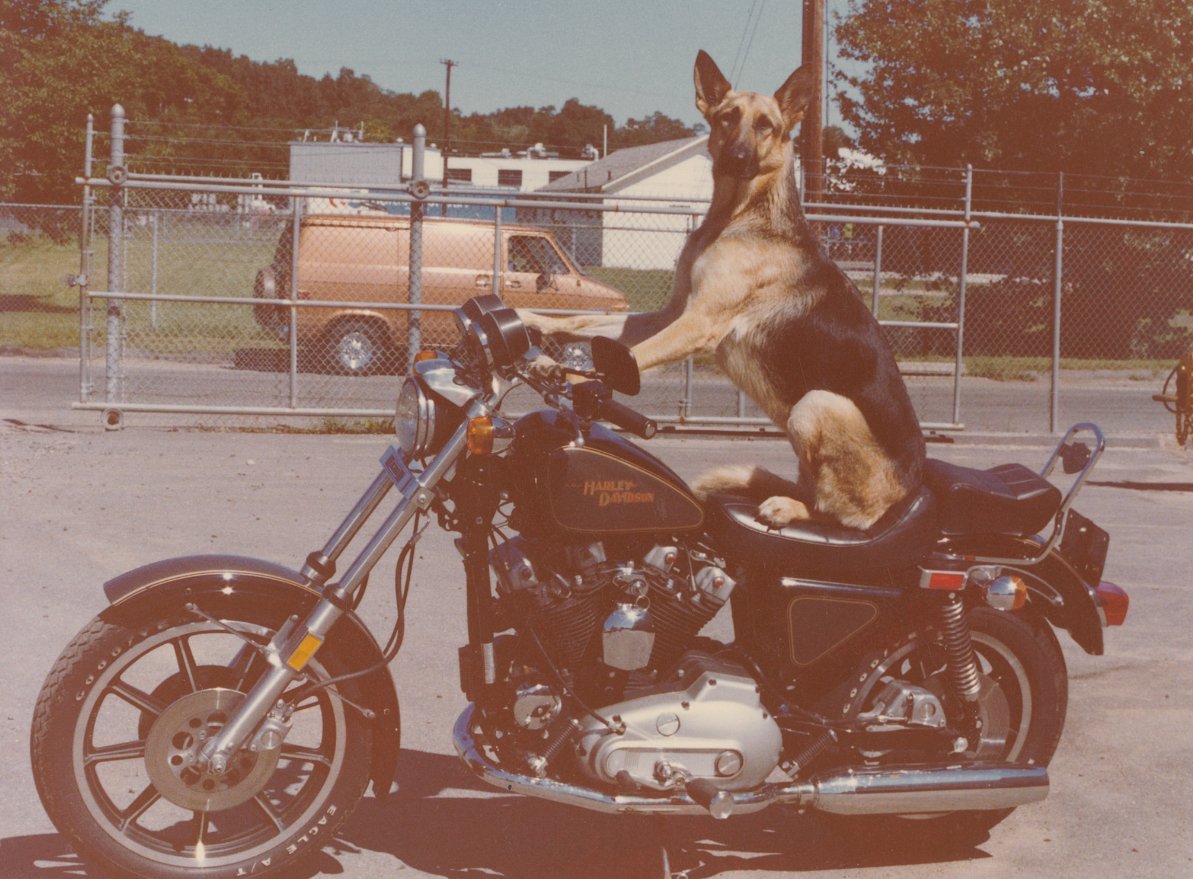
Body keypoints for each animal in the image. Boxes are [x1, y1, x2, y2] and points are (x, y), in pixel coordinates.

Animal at [520, 53, 920, 527]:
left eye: (766, 125)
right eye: (727, 117)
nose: (737, 157)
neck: (738, 214)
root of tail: (909, 494)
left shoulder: (698, 323)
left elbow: (631, 357)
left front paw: (565, 374)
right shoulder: (672, 313)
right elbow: (587, 322)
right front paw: (531, 323)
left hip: (815, 405)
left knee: (836, 511)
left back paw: (790, 506)